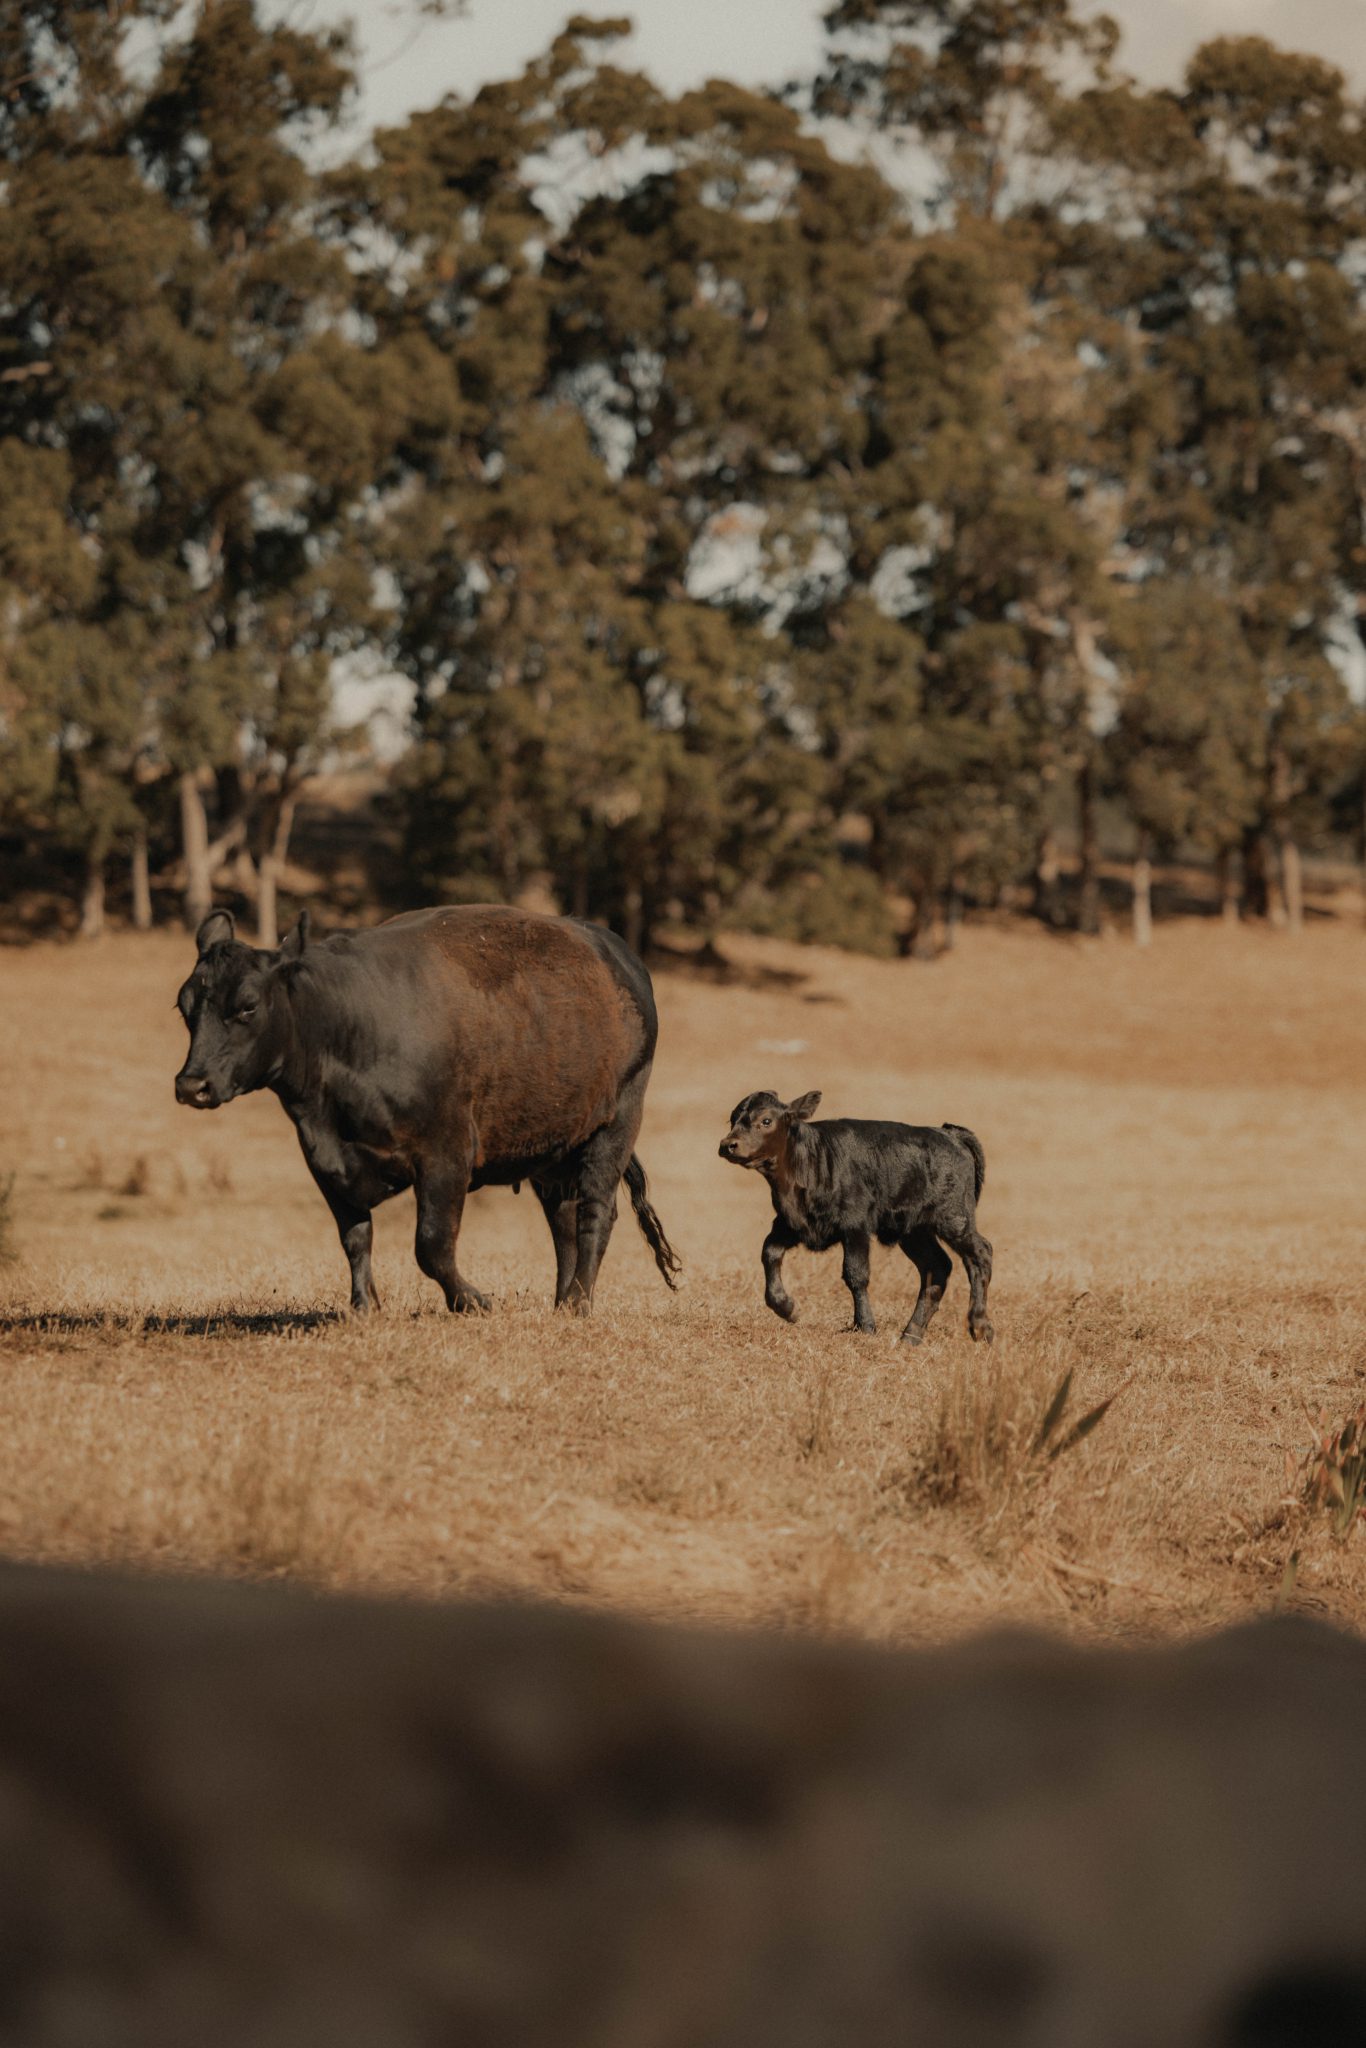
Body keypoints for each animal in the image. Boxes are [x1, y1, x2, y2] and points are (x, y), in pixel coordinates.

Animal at [174, 905, 679, 1318]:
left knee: (595, 1212)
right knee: (564, 1219)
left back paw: (577, 1303)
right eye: (185, 1007)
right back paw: (562, 1301)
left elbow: (431, 1245)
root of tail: (616, 955)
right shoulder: (325, 1161)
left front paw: (472, 1300)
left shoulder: (446, 1155)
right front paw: (364, 1306)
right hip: (553, 1146)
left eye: (247, 1006)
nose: (191, 1084)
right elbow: (355, 1236)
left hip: (616, 1124)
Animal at [716, 1089, 995, 1343]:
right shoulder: (790, 1224)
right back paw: (911, 1336)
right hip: (914, 1230)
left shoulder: (855, 1226)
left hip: (954, 1219)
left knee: (980, 1254)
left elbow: (855, 1274)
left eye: (766, 1120)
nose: (728, 1145)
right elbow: (769, 1252)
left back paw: (980, 1327)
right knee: (937, 1266)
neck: (812, 1161)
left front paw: (865, 1326)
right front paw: (787, 1307)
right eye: (732, 1119)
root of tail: (949, 1133)